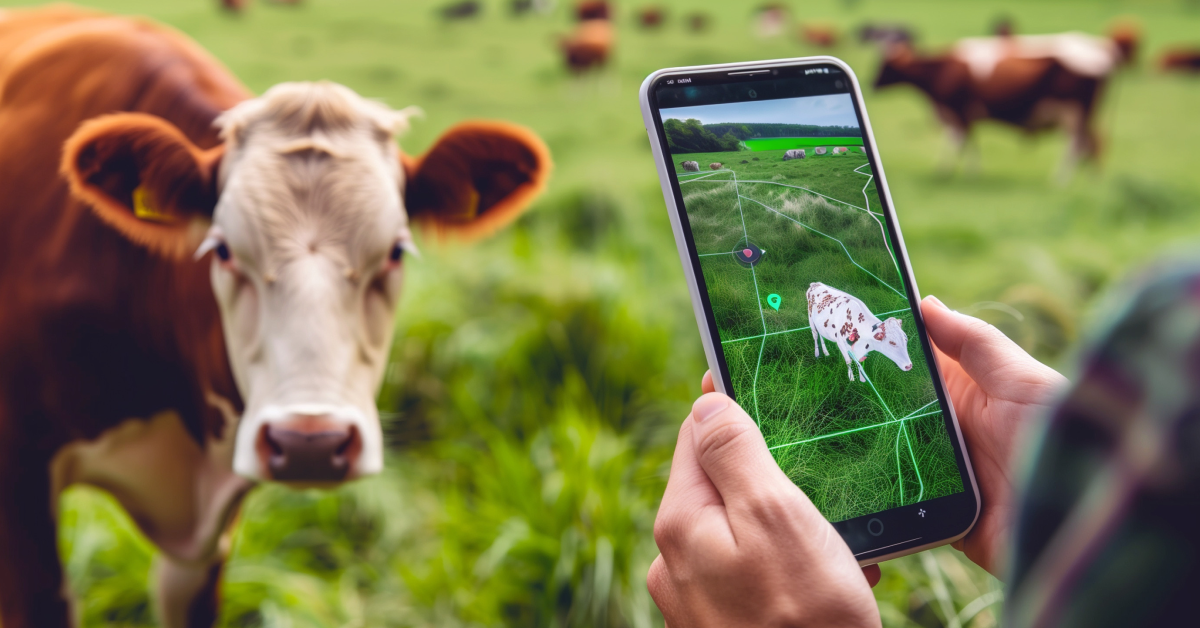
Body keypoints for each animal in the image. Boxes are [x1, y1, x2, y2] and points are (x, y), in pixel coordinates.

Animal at [875, 29, 1137, 180]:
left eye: (885, 65)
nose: (871, 83)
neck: (943, 68)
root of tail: (1103, 47)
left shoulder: (956, 111)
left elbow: (957, 142)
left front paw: (949, 171)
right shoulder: (965, 115)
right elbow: (969, 143)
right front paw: (971, 173)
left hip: (1073, 112)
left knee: (1076, 145)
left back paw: (1061, 179)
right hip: (1083, 113)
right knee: (1092, 144)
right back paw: (1088, 178)